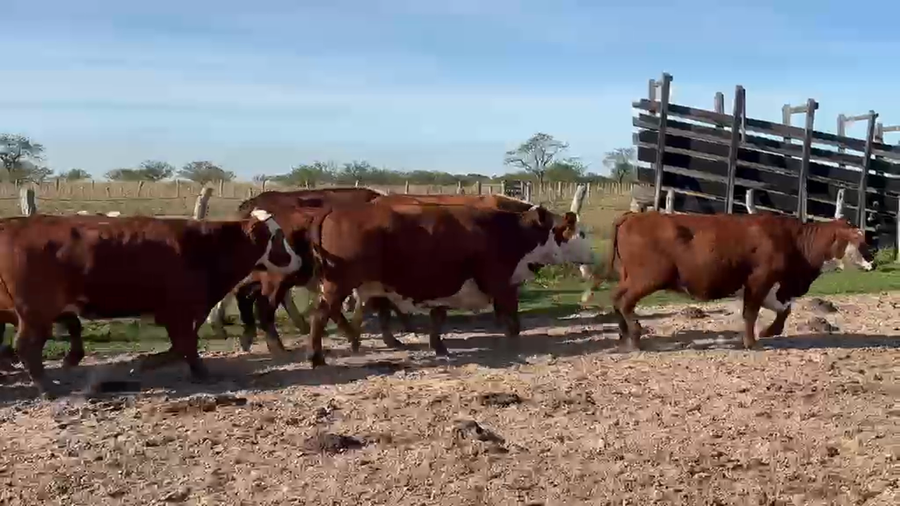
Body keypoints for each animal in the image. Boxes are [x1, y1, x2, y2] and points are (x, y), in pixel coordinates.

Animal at [0, 210, 302, 397]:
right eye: (276, 237)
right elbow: (185, 346)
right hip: (36, 312)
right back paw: (47, 387)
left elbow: (182, 346)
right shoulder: (178, 311)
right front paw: (187, 370)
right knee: (26, 346)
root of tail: (12, 225)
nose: (299, 260)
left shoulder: (179, 313)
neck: (205, 246)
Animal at [303, 201, 588, 367]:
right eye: (582, 233)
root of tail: (334, 209)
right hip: (339, 284)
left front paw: (438, 346)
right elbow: (512, 319)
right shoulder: (501, 284)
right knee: (320, 315)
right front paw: (512, 344)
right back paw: (317, 357)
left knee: (330, 313)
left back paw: (352, 342)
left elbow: (438, 316)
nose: (592, 256)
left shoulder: (446, 286)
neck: (510, 231)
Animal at [582, 211, 874, 351]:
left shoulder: (771, 287)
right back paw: (634, 335)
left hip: (630, 276)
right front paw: (752, 342)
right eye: (860, 240)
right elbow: (751, 313)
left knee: (616, 299)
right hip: (649, 277)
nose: (873, 260)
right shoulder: (759, 280)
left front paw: (770, 331)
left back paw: (624, 336)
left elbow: (784, 309)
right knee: (624, 302)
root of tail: (633, 215)